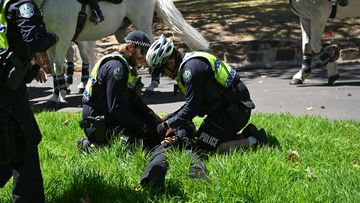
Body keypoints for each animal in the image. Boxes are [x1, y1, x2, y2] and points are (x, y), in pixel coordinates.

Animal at [34, 0, 210, 102]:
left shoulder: (65, 34)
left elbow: (58, 65)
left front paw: (62, 94)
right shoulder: (51, 38)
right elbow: (54, 66)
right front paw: (55, 94)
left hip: (142, 23)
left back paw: (152, 85)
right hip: (121, 31)